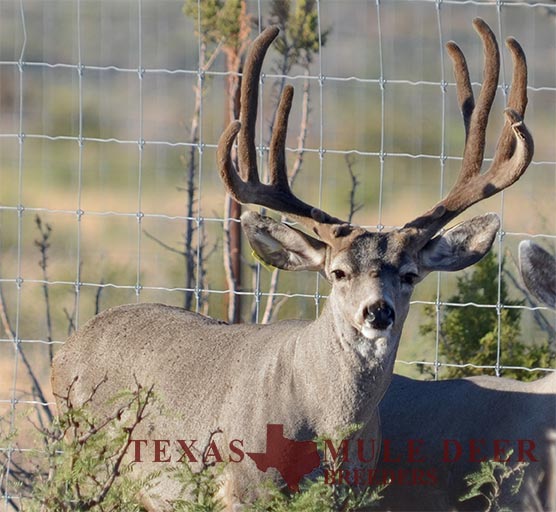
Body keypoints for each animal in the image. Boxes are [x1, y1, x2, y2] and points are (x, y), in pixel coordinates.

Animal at [52, 18, 536, 510]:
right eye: (337, 273)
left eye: (409, 274)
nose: (377, 312)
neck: (323, 430)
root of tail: (69, 345)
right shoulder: (243, 487)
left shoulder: (354, 490)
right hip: (86, 461)